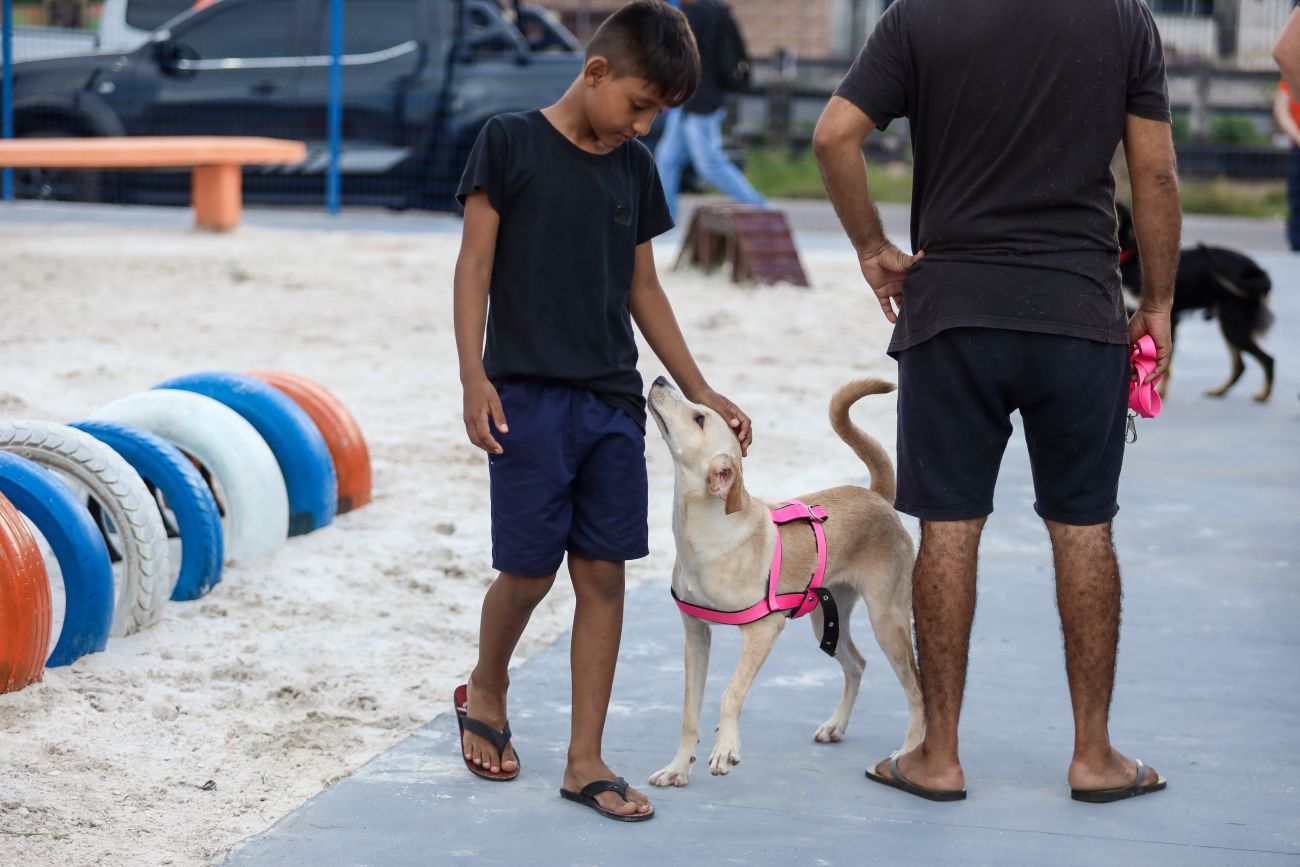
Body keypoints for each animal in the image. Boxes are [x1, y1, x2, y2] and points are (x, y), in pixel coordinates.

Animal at [645, 376, 924, 787]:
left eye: (699, 418)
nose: (660, 379)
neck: (709, 532)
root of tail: (876, 496)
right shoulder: (696, 635)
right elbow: (689, 712)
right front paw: (678, 767)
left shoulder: (764, 629)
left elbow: (731, 692)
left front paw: (726, 748)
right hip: (826, 620)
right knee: (857, 664)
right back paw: (836, 725)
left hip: (887, 620)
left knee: (916, 690)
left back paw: (908, 752)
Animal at [1116, 203, 1275, 402]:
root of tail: (1259, 271)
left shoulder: (1168, 318)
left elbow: (1165, 362)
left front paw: (1158, 392)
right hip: (1230, 326)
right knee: (1241, 365)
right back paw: (1219, 391)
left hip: (1234, 326)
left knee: (1268, 360)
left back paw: (1263, 395)